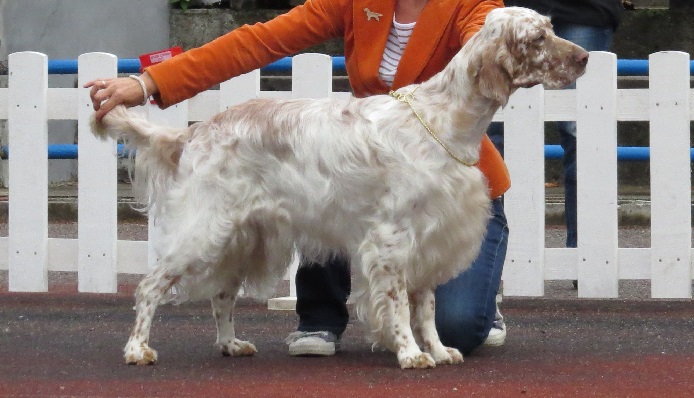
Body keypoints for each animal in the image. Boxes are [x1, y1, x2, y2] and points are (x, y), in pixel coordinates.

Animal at [94, 7, 588, 370]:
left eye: (550, 30)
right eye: (538, 38)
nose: (584, 57)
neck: (443, 119)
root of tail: (195, 132)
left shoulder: (431, 239)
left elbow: (427, 308)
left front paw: (438, 349)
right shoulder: (391, 240)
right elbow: (399, 306)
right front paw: (411, 354)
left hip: (241, 238)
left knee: (221, 296)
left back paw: (231, 344)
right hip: (204, 233)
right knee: (150, 287)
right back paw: (137, 349)